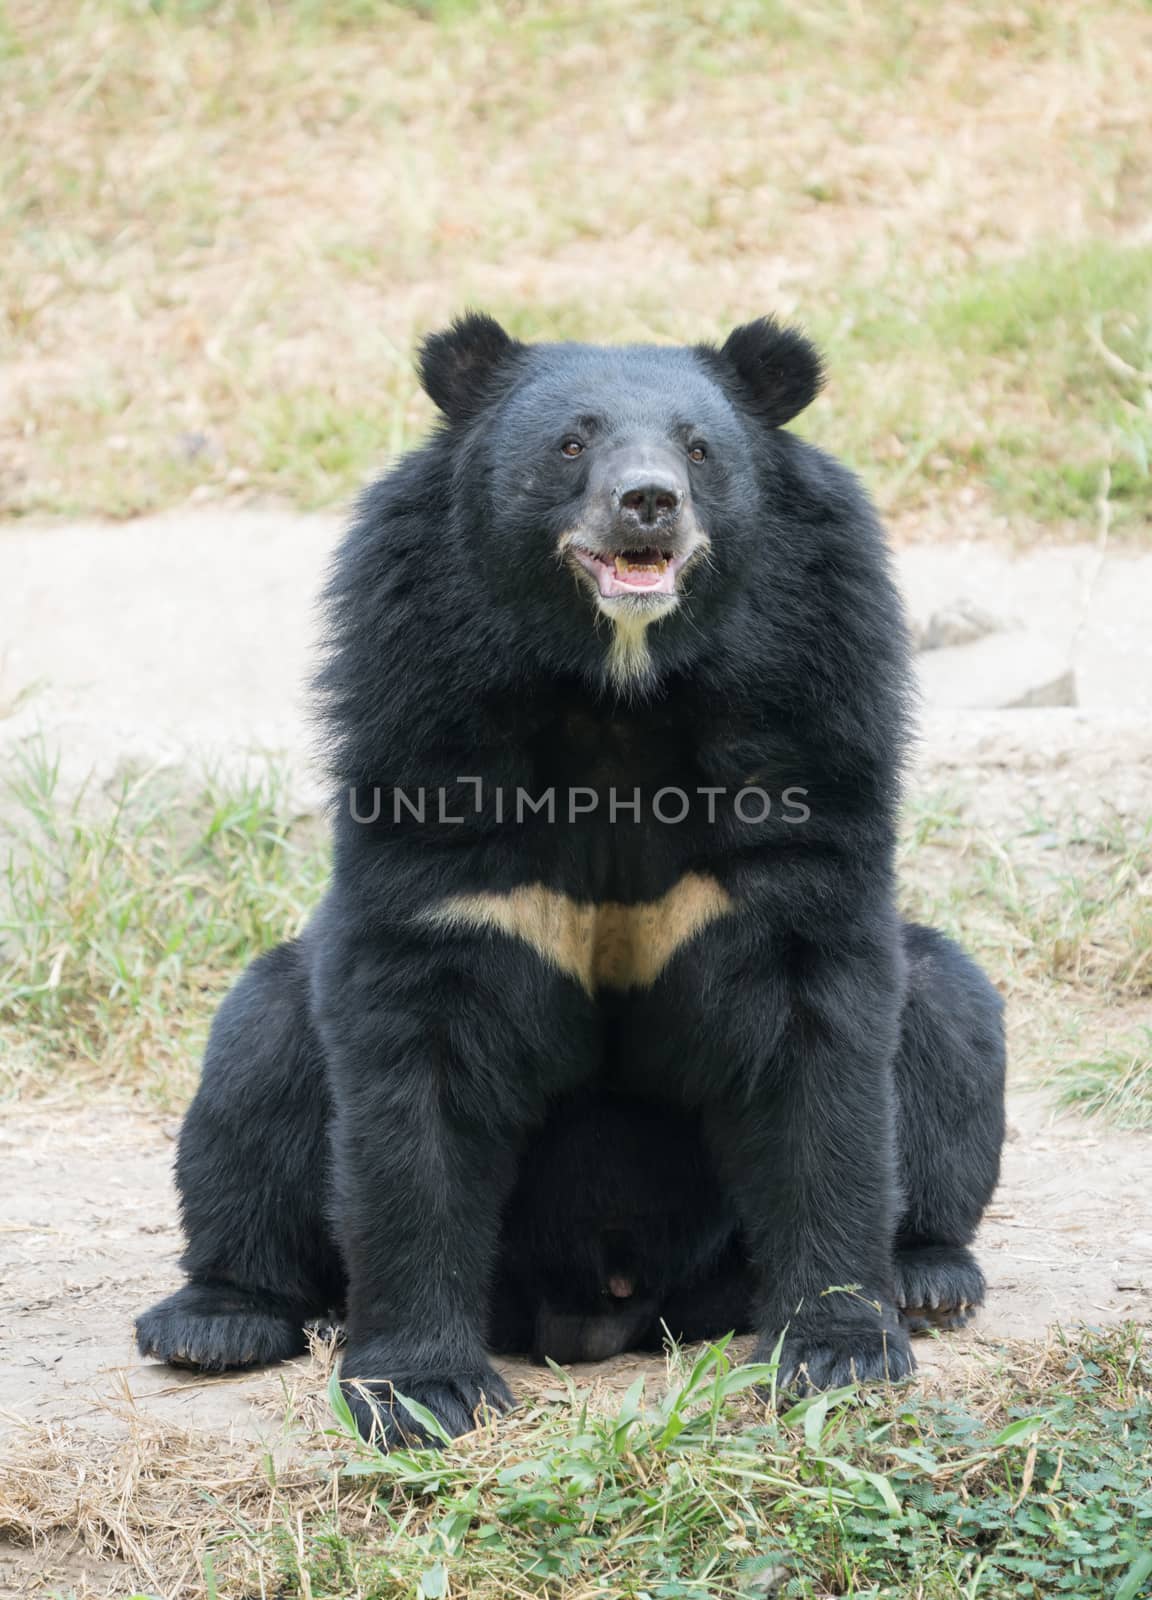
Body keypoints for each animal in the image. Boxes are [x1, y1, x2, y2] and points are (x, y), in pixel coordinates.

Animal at [135, 315, 1004, 1452]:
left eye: (698, 449)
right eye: (571, 445)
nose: (648, 503)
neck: (617, 689)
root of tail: (606, 1313)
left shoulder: (811, 719)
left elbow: (815, 1045)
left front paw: (838, 1353)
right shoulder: (425, 734)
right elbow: (418, 1069)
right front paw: (420, 1391)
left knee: (946, 1009)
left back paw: (928, 1275)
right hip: (278, 1040)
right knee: (254, 1062)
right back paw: (215, 1322)